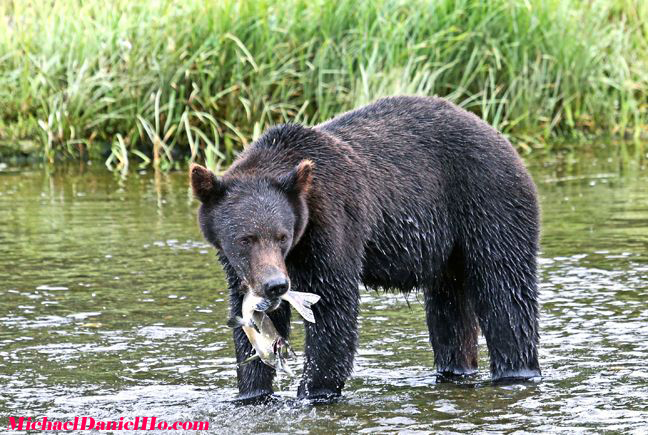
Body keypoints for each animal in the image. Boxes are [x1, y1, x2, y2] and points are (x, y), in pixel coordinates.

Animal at [190, 97, 540, 404]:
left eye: (282, 236)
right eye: (245, 238)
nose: (275, 285)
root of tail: (500, 136)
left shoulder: (333, 224)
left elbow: (333, 309)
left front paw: (314, 392)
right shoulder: (243, 269)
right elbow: (253, 324)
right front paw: (252, 390)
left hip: (489, 204)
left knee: (506, 295)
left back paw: (517, 370)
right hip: (447, 251)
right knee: (449, 311)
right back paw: (455, 369)